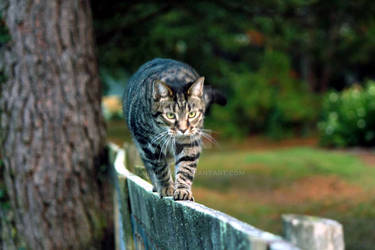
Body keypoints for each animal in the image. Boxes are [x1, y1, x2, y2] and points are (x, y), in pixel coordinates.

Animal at [122, 57, 226, 200]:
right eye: (170, 115)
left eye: (191, 114)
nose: (182, 129)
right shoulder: (148, 143)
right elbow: (160, 167)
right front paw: (166, 187)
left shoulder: (190, 140)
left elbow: (186, 167)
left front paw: (183, 190)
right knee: (149, 166)